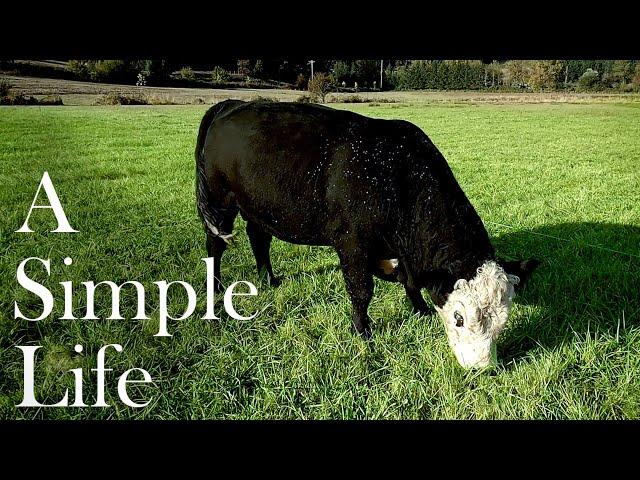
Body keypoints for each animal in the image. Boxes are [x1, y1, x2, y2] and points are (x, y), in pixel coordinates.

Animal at [196, 100, 540, 368]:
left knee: (259, 237)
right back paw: (216, 286)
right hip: (220, 202)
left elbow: (409, 282)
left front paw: (420, 310)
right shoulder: (352, 245)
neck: (397, 176)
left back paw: (269, 278)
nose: (482, 367)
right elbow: (362, 292)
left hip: (258, 208)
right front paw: (364, 333)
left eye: (504, 320)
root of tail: (233, 104)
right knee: (215, 244)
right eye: (459, 317)